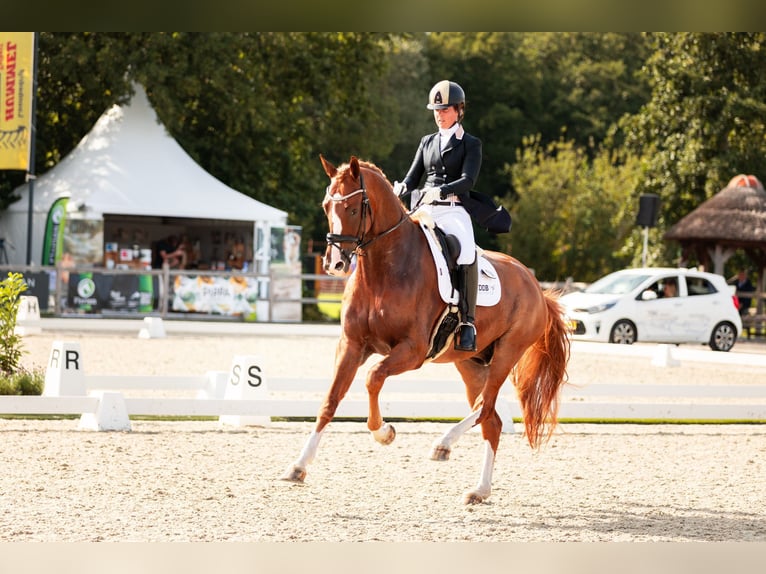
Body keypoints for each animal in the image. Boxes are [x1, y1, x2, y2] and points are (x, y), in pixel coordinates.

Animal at [282, 156, 568, 504]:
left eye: (352, 208)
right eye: (326, 206)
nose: (334, 263)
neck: (383, 271)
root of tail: (537, 288)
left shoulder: (412, 350)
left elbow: (373, 377)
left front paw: (384, 432)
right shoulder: (351, 344)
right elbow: (330, 400)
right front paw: (298, 466)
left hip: (507, 353)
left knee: (485, 407)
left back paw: (443, 444)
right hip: (470, 362)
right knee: (491, 419)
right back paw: (479, 489)